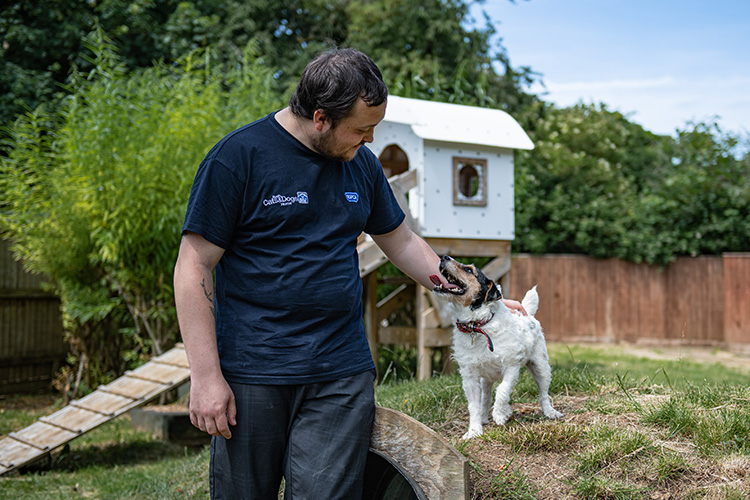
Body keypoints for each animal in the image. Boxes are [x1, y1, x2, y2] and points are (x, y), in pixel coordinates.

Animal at [428, 256, 564, 440]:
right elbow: (474, 406)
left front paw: (500, 415)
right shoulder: (470, 377)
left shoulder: (511, 367)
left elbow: (503, 390)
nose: (444, 257)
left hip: (541, 367)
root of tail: (528, 315)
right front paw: (474, 430)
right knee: (485, 398)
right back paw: (484, 417)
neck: (478, 326)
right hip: (486, 380)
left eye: (469, 270)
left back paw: (550, 412)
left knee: (543, 394)